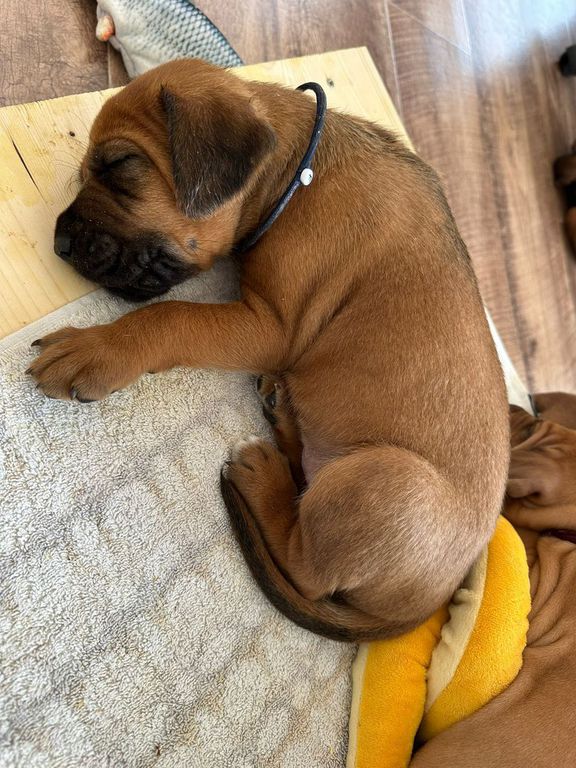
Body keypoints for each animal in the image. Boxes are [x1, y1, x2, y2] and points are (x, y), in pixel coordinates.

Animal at [27, 59, 509, 641]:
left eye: (121, 164)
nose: (59, 244)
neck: (296, 178)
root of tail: (418, 611)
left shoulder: (270, 326)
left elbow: (171, 316)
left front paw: (98, 347)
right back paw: (282, 416)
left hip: (389, 483)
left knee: (305, 566)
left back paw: (264, 478)